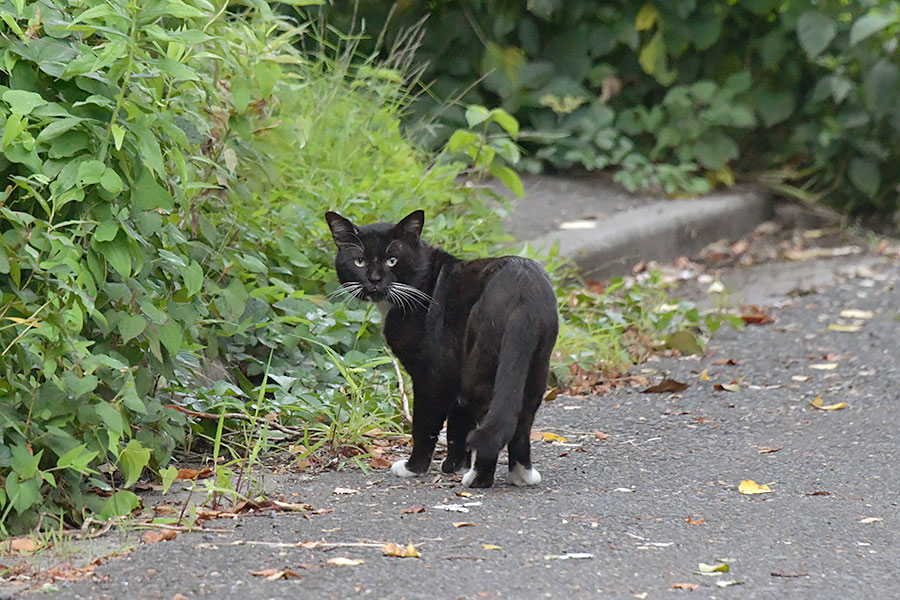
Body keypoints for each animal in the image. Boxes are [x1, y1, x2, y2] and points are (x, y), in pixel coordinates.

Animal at [326, 210, 560, 488]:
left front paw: (413, 468)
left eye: (392, 260)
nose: (374, 280)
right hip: (535, 363)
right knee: (521, 418)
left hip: (481, 362)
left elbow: (425, 424)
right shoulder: (455, 371)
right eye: (359, 261)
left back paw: (478, 479)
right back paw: (522, 475)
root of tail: (522, 296)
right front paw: (454, 466)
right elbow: (458, 424)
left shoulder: (432, 373)